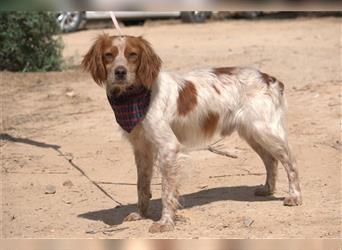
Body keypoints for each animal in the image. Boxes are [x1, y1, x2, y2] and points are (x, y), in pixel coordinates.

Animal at [81, 34, 300, 233]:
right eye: (109, 55)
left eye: (132, 55)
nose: (120, 72)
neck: (137, 96)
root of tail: (269, 78)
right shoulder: (142, 148)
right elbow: (142, 185)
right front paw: (141, 214)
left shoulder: (168, 147)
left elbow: (167, 191)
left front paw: (165, 222)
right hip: (252, 133)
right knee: (271, 160)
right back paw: (268, 189)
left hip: (265, 131)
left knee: (290, 161)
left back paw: (295, 196)